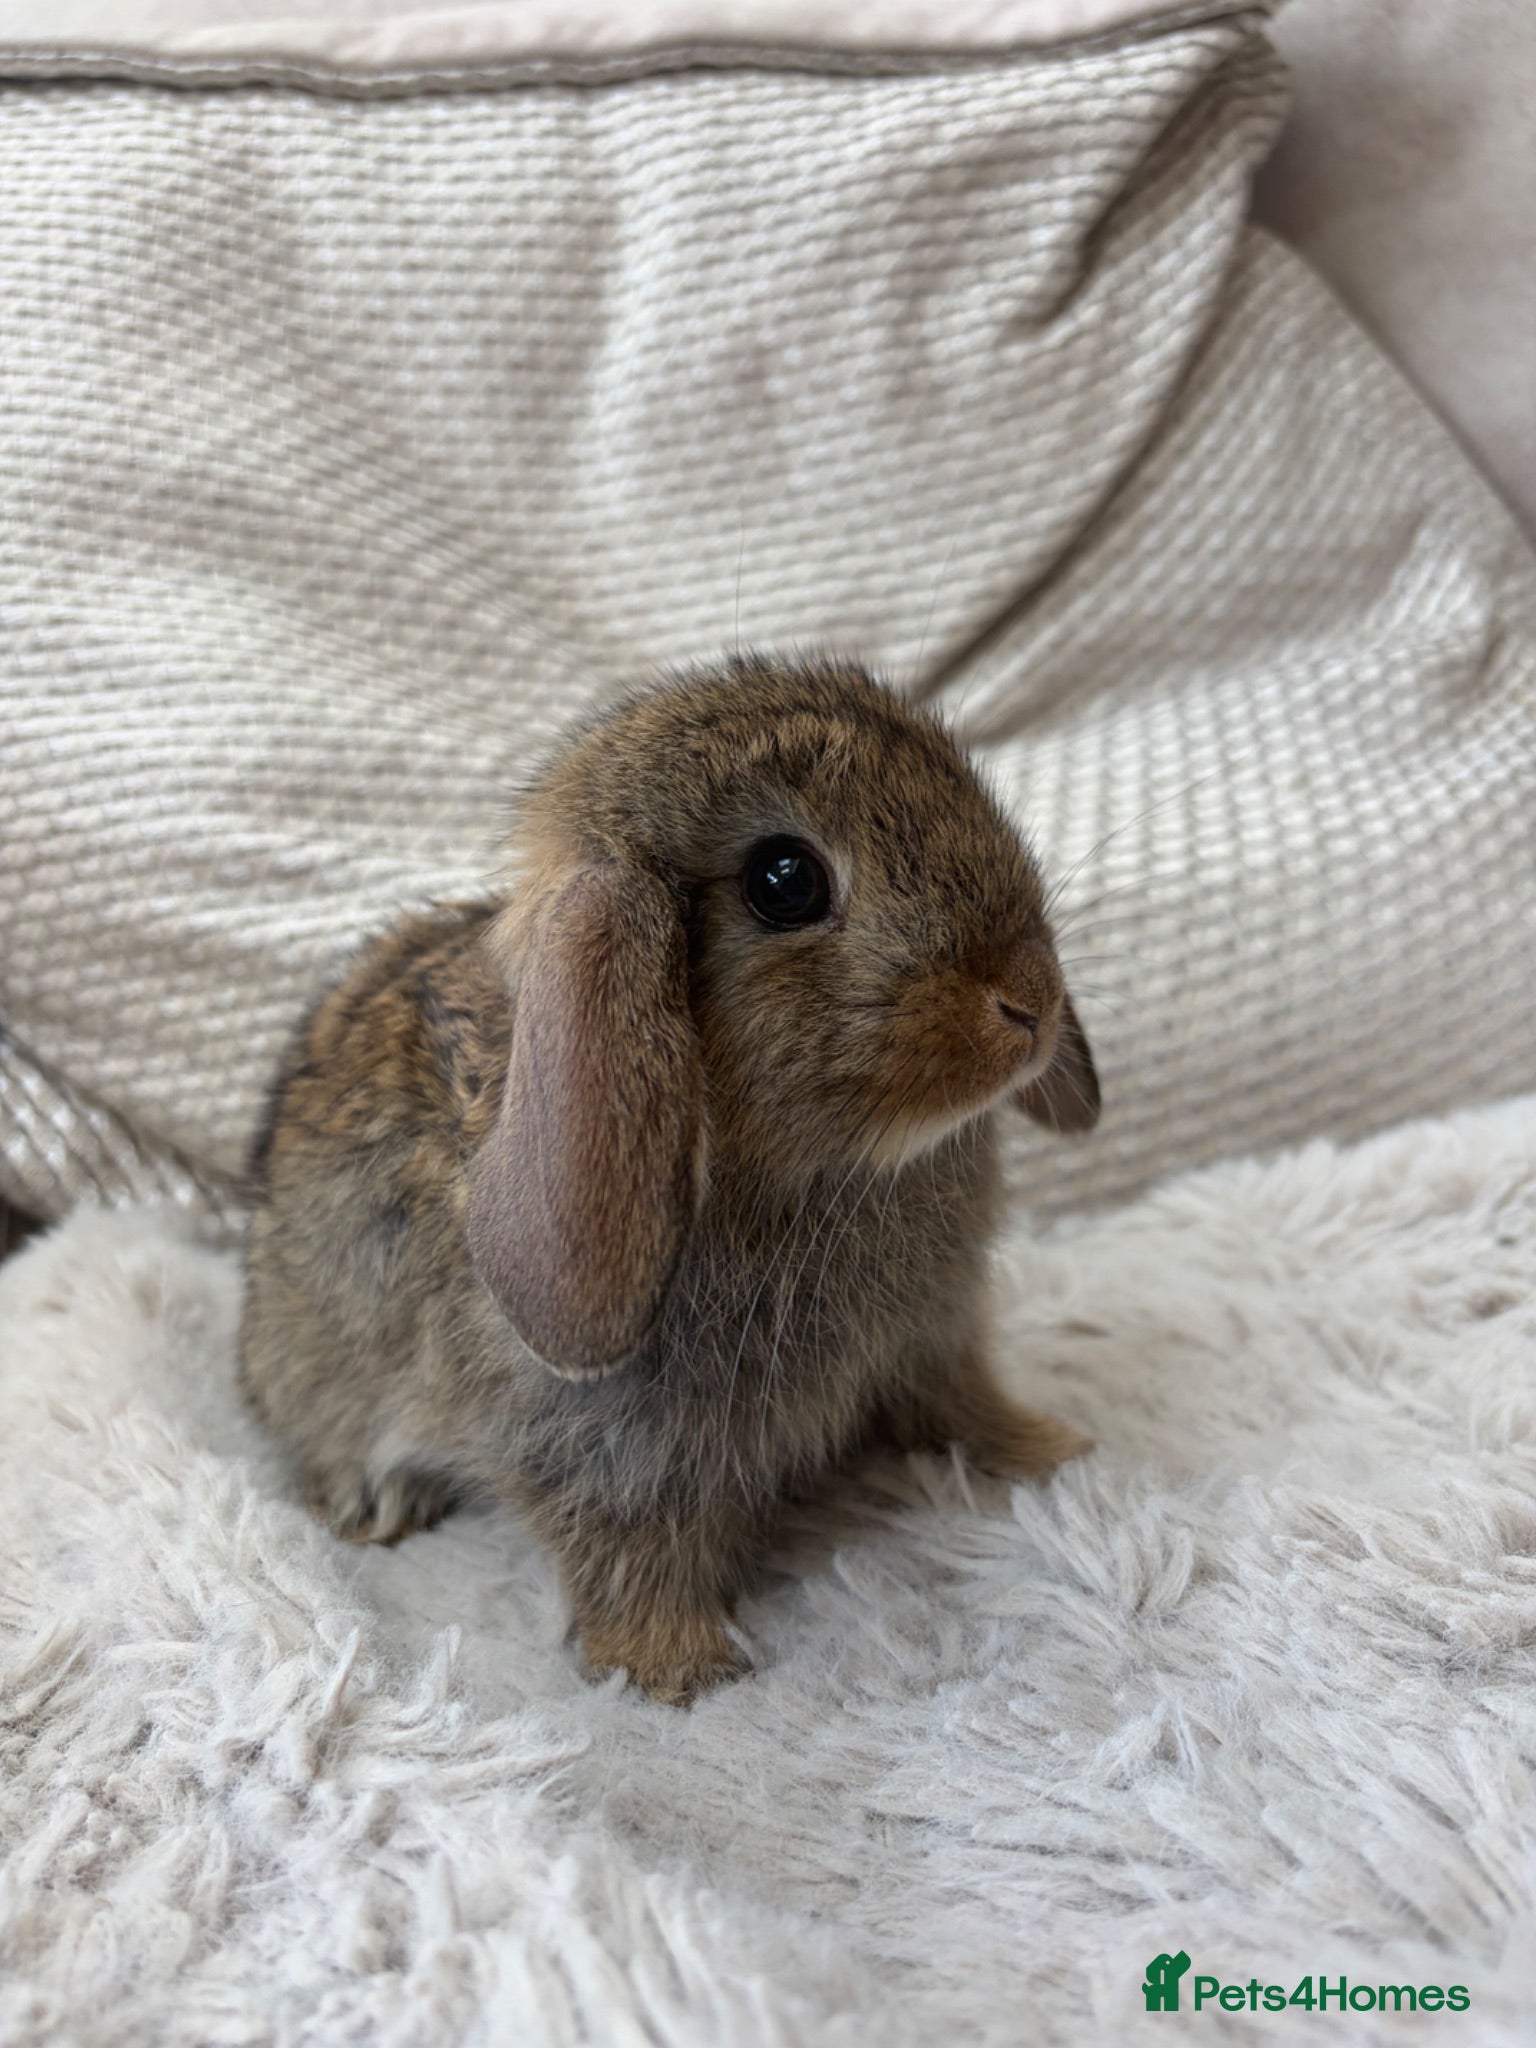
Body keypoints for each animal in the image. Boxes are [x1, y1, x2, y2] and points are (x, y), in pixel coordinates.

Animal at [239, 652, 1101, 1704]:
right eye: (785, 881)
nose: (1031, 1003)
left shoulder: (934, 1342)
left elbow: (965, 1405)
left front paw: (1051, 1450)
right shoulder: (602, 1448)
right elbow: (626, 1551)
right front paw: (682, 1672)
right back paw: (382, 1501)